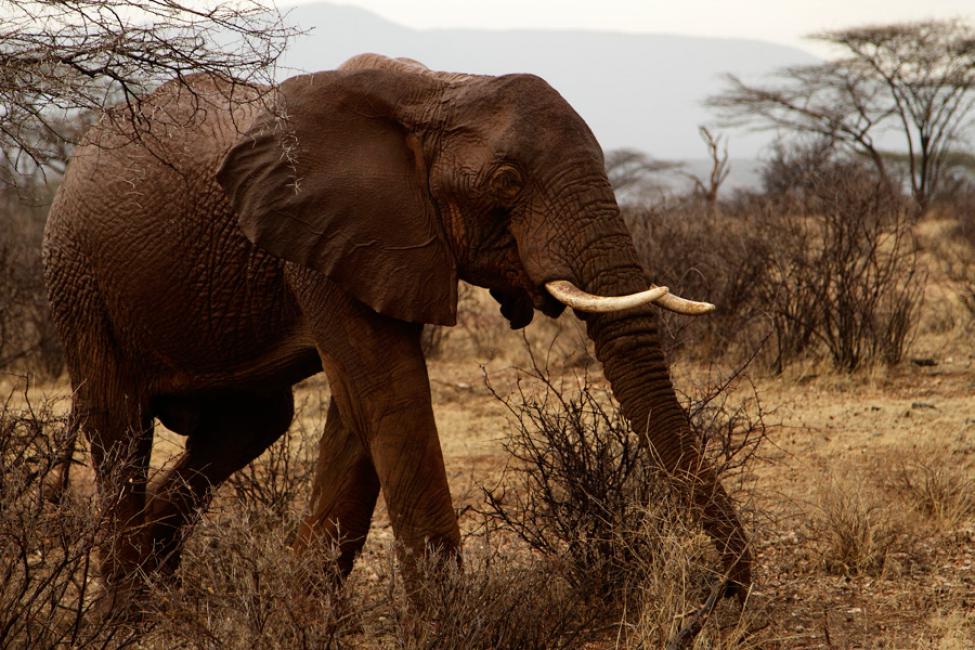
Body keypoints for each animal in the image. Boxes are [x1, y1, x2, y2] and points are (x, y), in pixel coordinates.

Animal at [42, 52, 752, 608]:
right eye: (507, 181)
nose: (720, 596)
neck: (439, 89)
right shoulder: (329, 233)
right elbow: (390, 392)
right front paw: (451, 625)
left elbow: (361, 411)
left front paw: (301, 609)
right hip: (76, 273)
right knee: (119, 423)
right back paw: (126, 612)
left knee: (252, 423)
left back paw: (157, 577)